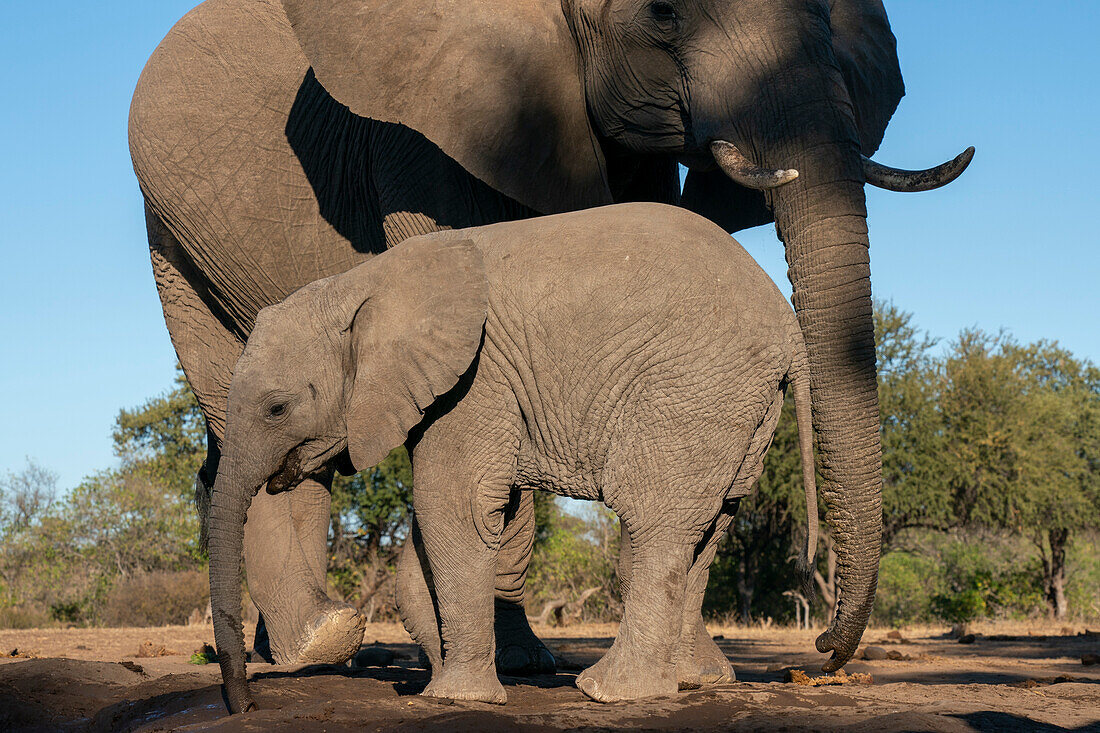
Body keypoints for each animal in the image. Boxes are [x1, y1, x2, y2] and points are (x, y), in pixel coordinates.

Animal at [210, 201, 822, 708]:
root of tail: (787, 325)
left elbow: (452, 508)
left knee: (656, 525)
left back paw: (611, 692)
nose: (247, 705)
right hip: (742, 409)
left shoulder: (477, 378)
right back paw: (695, 681)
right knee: (713, 525)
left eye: (277, 408)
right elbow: (432, 534)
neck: (362, 284)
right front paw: (439, 681)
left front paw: (456, 698)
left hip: (691, 387)